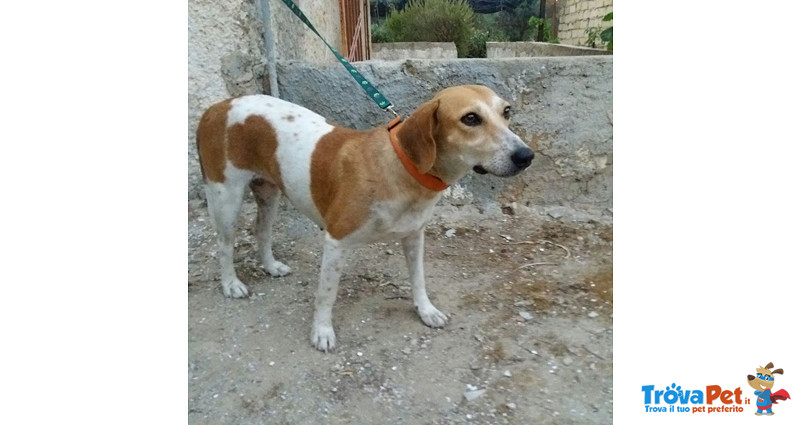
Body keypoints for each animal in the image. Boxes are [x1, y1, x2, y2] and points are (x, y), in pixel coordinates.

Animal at [195, 84, 536, 350]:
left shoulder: (414, 237)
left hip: (269, 193)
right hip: (226, 199)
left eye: (506, 111)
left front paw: (425, 311)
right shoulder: (335, 241)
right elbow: (326, 294)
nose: (526, 156)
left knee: (261, 231)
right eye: (470, 118)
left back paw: (270, 266)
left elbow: (418, 280)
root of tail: (218, 107)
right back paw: (231, 284)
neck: (403, 169)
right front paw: (322, 332)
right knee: (224, 245)